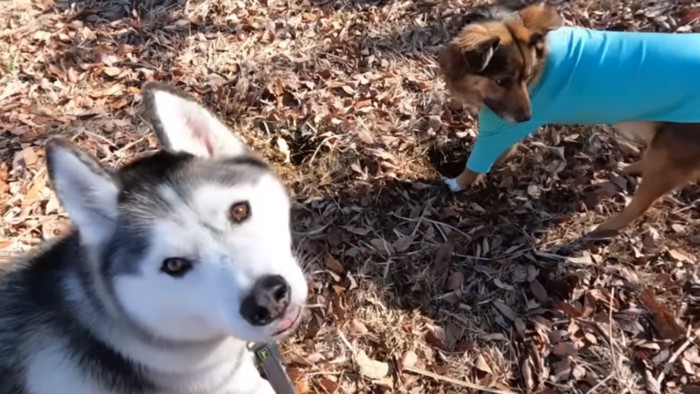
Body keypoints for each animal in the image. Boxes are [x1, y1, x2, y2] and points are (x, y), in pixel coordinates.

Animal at [440, 3, 700, 237]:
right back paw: (630, 168)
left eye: (526, 77)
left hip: (667, 159)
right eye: (501, 81)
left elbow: (478, 160)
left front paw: (459, 182)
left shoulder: (499, 129)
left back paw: (604, 228)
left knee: (640, 206)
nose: (527, 118)